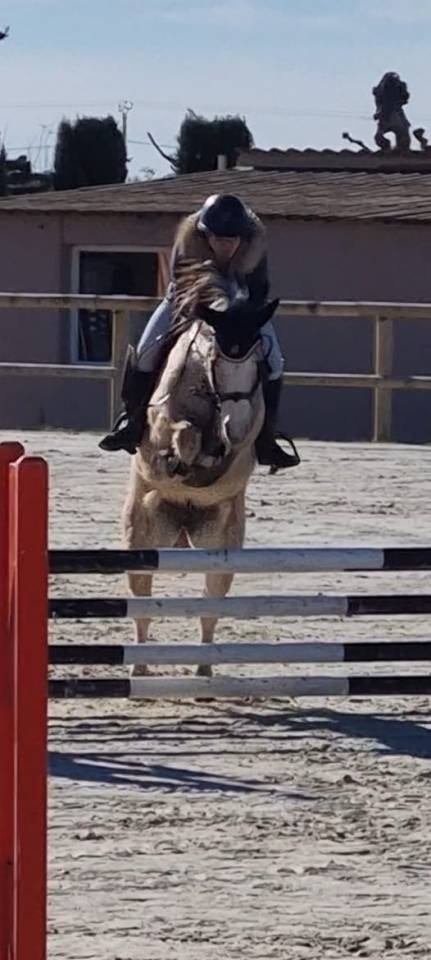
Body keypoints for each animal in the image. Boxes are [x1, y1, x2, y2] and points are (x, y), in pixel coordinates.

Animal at [122, 261, 279, 676]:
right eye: (217, 359)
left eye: (257, 362)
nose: (232, 424)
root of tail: (183, 531)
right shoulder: (160, 423)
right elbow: (183, 432)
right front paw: (183, 457)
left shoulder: (245, 441)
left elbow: (228, 452)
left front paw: (212, 451)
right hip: (140, 542)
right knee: (142, 608)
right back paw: (139, 668)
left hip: (221, 548)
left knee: (210, 607)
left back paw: (205, 670)